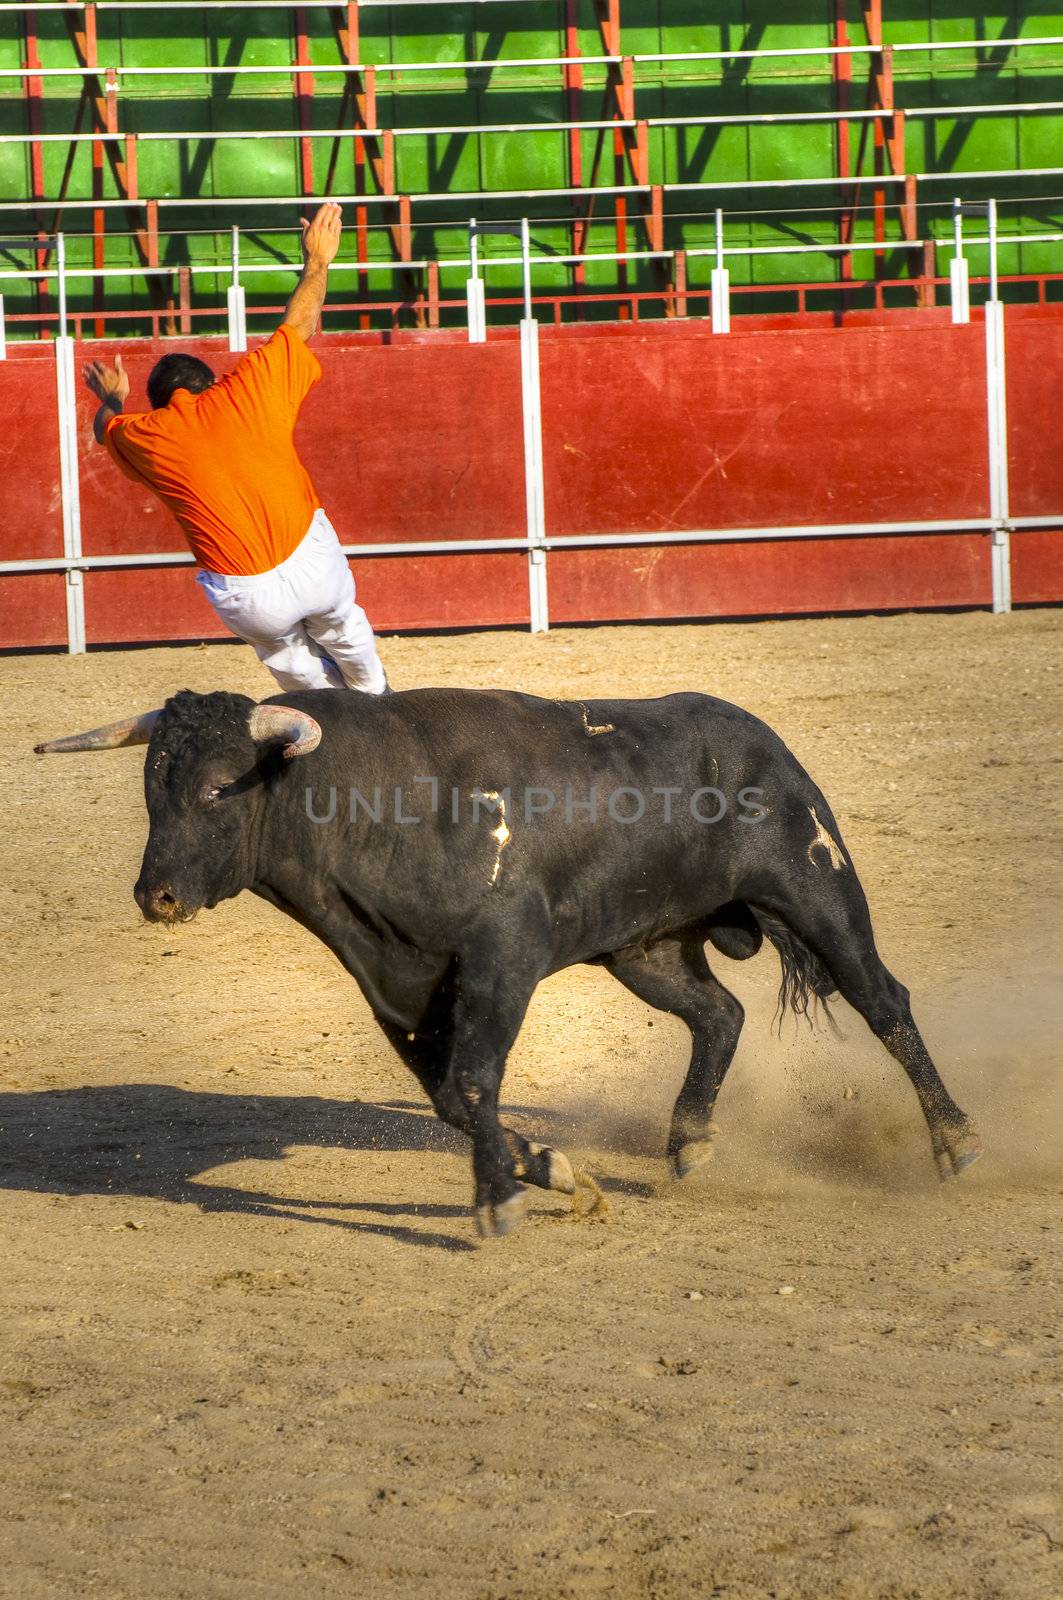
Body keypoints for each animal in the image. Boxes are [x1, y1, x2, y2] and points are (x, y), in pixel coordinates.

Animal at [35, 688, 979, 1235]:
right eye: (151, 789)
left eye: (214, 787)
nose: (154, 896)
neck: (374, 798)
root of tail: (762, 739)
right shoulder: (399, 984)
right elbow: (455, 1097)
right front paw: (555, 1174)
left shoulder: (503, 959)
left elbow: (474, 1081)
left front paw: (498, 1200)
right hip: (645, 948)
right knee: (721, 1014)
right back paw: (687, 1143)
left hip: (819, 892)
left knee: (883, 1001)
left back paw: (956, 1143)